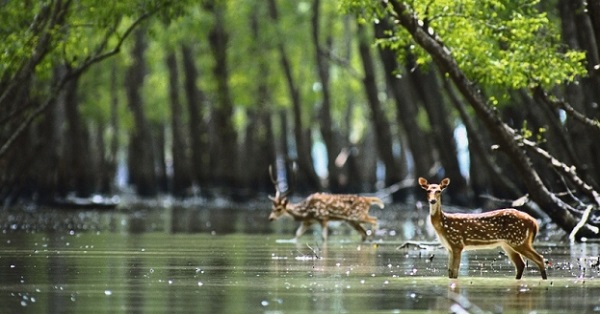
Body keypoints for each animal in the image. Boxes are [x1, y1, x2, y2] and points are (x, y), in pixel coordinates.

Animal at [420, 177, 548, 280]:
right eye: (428, 190)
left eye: (439, 191)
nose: (432, 201)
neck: (443, 225)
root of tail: (534, 222)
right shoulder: (449, 247)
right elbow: (450, 273)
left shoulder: (457, 243)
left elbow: (455, 273)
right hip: (508, 243)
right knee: (521, 264)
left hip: (518, 240)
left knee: (540, 259)